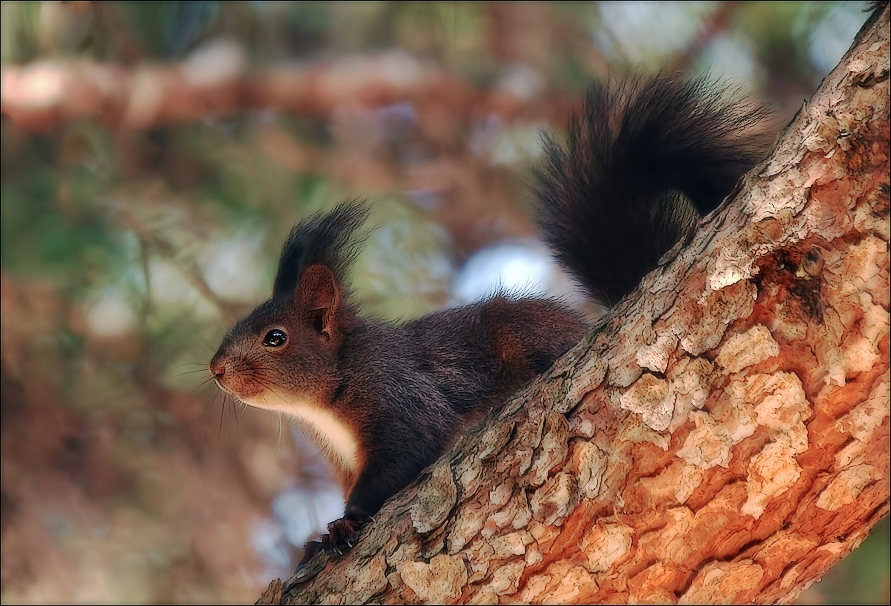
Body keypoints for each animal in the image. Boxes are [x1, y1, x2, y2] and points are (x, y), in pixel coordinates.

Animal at [207, 76, 768, 580]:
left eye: (275, 338)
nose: (215, 370)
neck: (330, 396)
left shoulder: (396, 394)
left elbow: (407, 450)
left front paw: (344, 525)